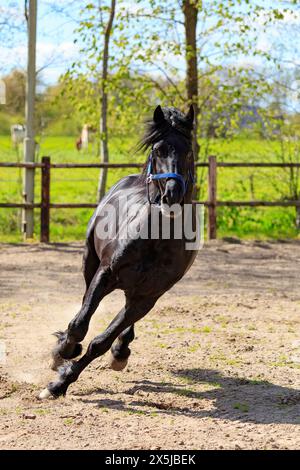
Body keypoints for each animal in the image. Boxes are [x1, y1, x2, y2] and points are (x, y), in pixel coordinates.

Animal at [39, 105, 199, 400]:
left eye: (188, 151)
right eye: (157, 150)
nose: (172, 194)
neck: (156, 239)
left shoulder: (147, 298)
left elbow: (101, 342)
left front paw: (60, 384)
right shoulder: (105, 274)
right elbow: (80, 325)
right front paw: (62, 352)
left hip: (136, 293)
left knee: (122, 322)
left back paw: (121, 351)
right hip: (89, 263)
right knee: (83, 305)